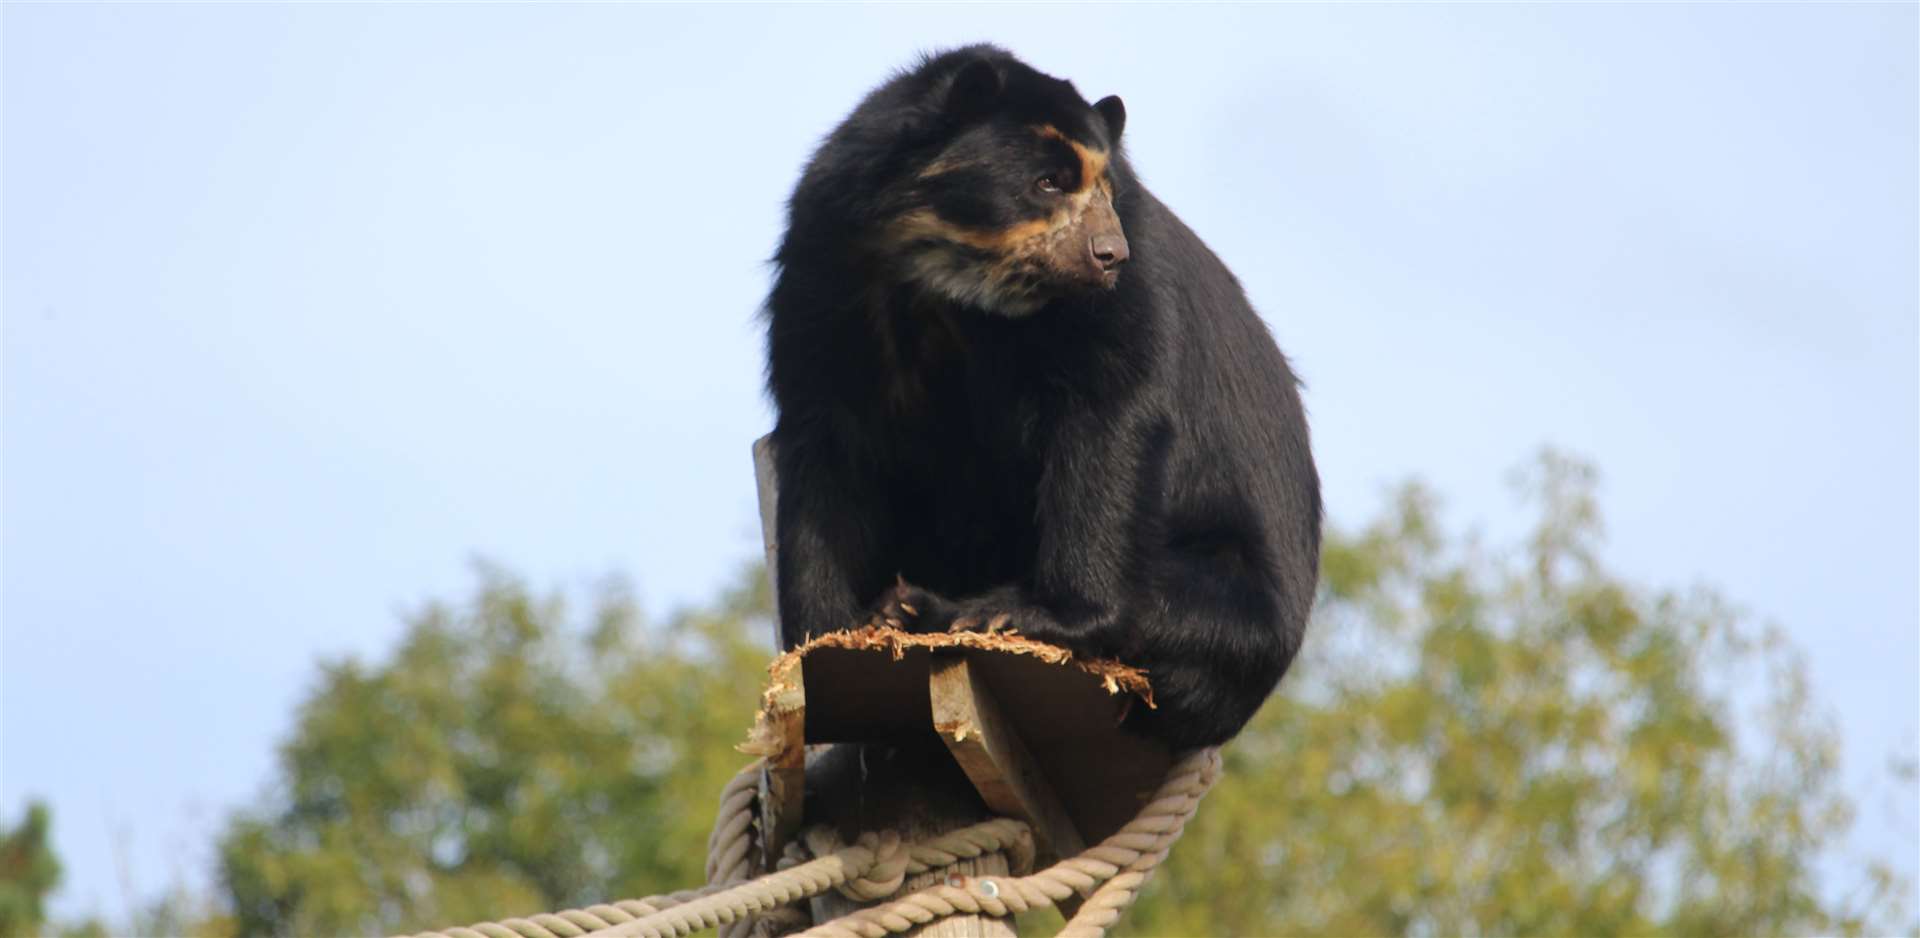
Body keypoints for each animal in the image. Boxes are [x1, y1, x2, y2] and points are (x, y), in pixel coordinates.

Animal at [764, 43, 1320, 748]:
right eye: (1048, 182)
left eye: (1108, 192)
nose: (1109, 253)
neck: (952, 278)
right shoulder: (826, 271)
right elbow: (827, 444)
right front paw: (829, 634)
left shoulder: (1118, 301)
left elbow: (1111, 413)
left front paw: (1031, 614)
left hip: (1232, 604)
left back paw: (933, 605)